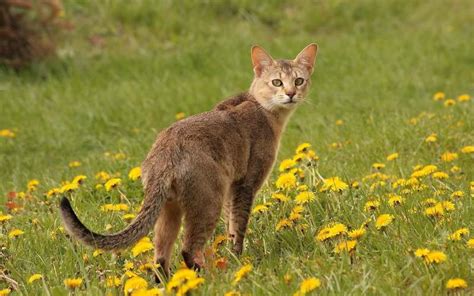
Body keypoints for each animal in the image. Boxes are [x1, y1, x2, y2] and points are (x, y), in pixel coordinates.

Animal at [60, 42, 318, 276]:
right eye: (277, 82)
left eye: (298, 81)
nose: (291, 94)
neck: (263, 109)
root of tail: (164, 154)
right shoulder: (245, 184)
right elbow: (238, 225)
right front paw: (238, 258)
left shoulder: (232, 189)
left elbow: (231, 226)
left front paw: (232, 255)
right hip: (208, 200)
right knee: (188, 248)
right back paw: (208, 277)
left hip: (170, 209)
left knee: (160, 256)